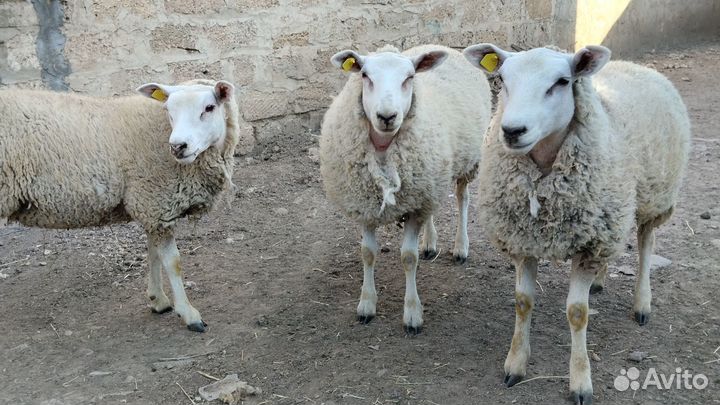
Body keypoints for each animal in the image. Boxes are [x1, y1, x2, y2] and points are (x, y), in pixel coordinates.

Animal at [0, 79, 240, 332]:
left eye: (209, 108)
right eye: (168, 110)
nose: (177, 146)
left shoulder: (152, 206)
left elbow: (153, 253)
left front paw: (158, 300)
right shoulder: (156, 201)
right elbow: (172, 262)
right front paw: (189, 314)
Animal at [319, 44, 492, 334]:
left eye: (409, 77)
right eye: (365, 75)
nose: (387, 116)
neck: (383, 149)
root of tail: (442, 47)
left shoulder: (414, 206)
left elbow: (409, 258)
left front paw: (412, 312)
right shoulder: (367, 204)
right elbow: (367, 253)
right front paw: (366, 304)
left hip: (466, 163)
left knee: (462, 198)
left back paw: (461, 246)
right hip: (430, 178)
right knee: (433, 210)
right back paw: (430, 243)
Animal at [462, 43, 690, 403]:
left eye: (561, 81)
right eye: (502, 79)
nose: (512, 131)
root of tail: (633, 65)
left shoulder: (587, 247)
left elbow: (577, 313)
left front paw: (580, 381)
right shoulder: (526, 239)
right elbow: (523, 302)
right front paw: (515, 364)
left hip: (654, 196)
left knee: (646, 243)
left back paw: (642, 302)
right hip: (609, 216)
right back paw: (599, 280)